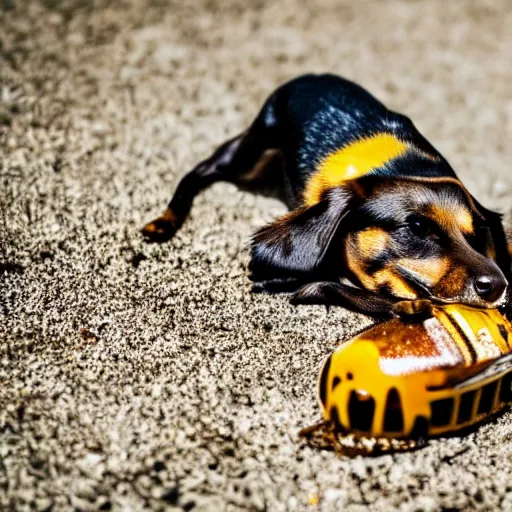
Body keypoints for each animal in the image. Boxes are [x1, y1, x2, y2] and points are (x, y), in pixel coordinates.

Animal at [142, 74, 510, 318]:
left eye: (479, 235)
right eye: (417, 228)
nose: (497, 286)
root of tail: (307, 77)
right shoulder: (272, 272)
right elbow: (334, 284)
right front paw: (404, 305)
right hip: (247, 155)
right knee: (198, 171)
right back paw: (164, 221)